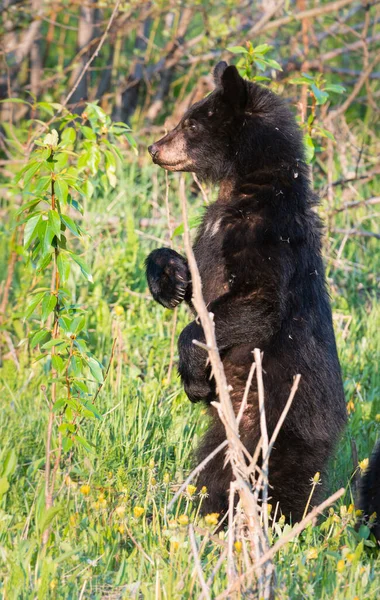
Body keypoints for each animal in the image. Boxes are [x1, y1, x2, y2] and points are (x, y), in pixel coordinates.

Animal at [145, 62, 348, 520]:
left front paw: (193, 376)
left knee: (271, 482)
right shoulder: (212, 232)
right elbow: (196, 276)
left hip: (273, 424)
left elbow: (258, 298)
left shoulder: (267, 232)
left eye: (191, 123)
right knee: (218, 469)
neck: (246, 185)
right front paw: (169, 279)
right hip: (228, 432)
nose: (154, 148)